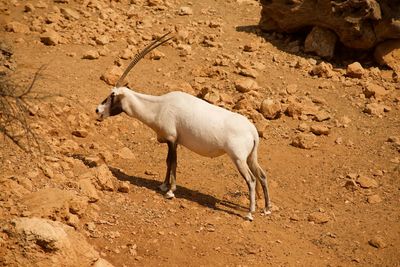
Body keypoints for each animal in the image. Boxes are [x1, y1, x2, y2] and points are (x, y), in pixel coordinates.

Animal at [97, 32, 272, 221]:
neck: (160, 106)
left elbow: (173, 162)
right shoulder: (172, 141)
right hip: (251, 157)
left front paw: (170, 191)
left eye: (112, 95)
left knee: (251, 179)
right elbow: (168, 162)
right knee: (262, 175)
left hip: (238, 158)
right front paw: (163, 186)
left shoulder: (172, 139)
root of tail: (252, 131)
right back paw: (266, 208)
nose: (98, 110)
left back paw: (249, 213)